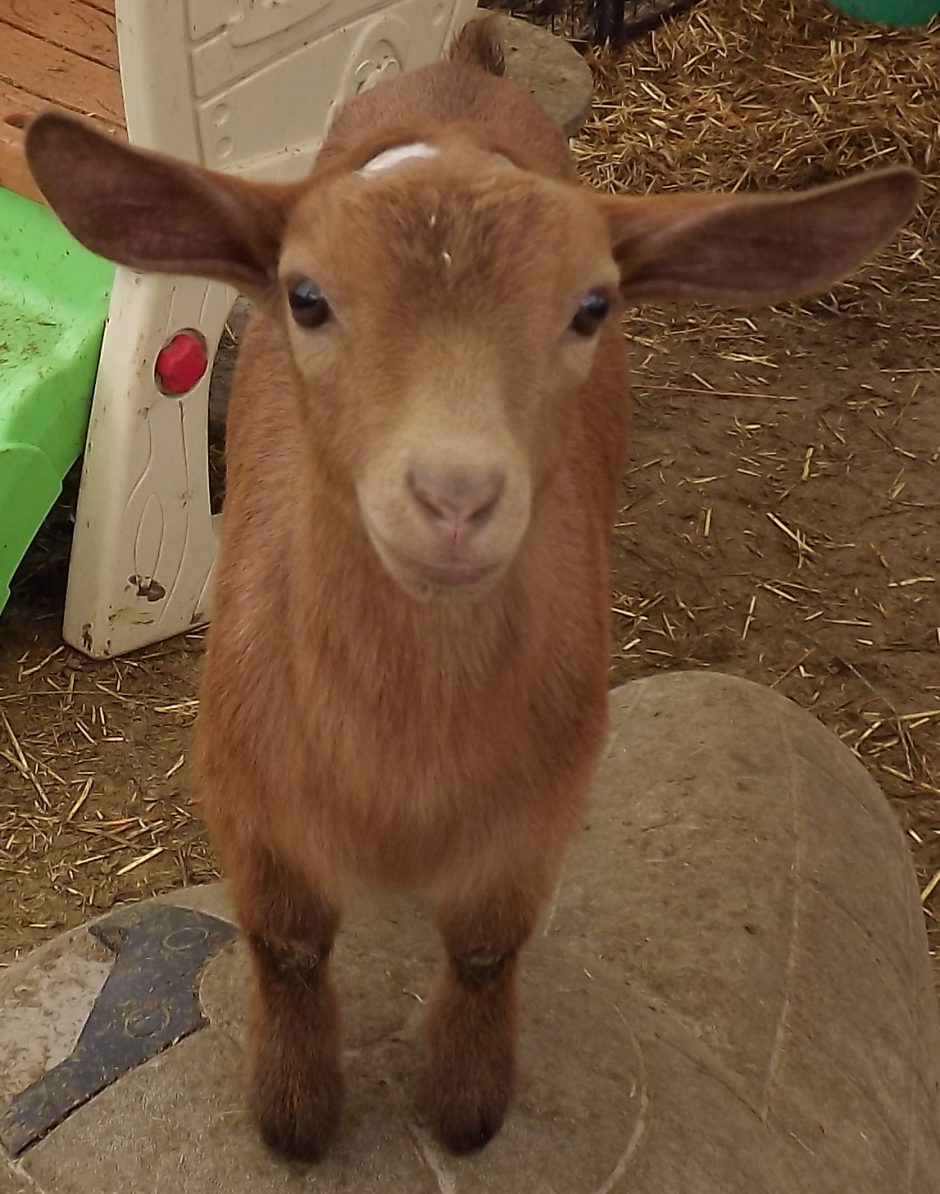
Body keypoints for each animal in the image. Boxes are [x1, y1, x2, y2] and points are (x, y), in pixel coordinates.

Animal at [25, 16, 917, 1162]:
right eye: (305, 297)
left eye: (592, 307)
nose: (455, 497)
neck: (405, 753)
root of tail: (463, 63)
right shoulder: (250, 798)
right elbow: (288, 947)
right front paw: (294, 1116)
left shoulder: (535, 814)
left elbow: (490, 951)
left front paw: (466, 1105)